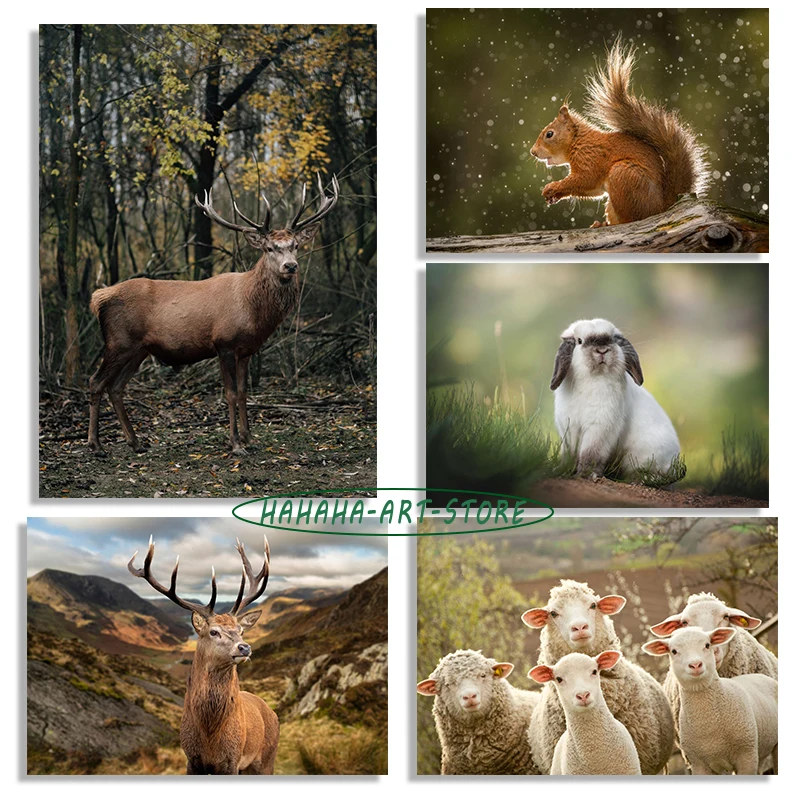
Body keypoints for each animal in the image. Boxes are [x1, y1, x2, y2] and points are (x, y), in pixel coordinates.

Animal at [88, 174, 339, 456]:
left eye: (295, 245)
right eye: (270, 248)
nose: (290, 266)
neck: (253, 310)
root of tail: (98, 298)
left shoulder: (246, 350)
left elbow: (244, 393)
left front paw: (250, 438)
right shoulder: (224, 343)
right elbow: (229, 394)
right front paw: (236, 444)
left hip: (139, 349)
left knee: (116, 387)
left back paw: (135, 441)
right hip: (118, 342)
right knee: (96, 382)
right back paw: (95, 444)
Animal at [128, 534, 280, 774]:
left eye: (241, 630)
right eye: (213, 631)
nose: (244, 647)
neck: (209, 737)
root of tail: (272, 713)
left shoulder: (232, 761)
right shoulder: (192, 759)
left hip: (266, 760)